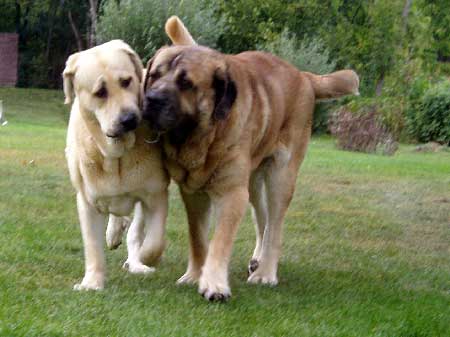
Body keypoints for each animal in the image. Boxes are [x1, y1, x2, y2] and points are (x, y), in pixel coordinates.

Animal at [63, 40, 169, 288]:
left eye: (126, 81)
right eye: (100, 92)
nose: (129, 119)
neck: (117, 156)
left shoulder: (156, 194)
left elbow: (154, 242)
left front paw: (142, 260)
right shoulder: (88, 202)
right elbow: (92, 247)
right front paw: (92, 282)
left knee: (136, 229)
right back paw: (113, 233)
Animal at [144, 17, 358, 300]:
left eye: (186, 83)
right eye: (154, 76)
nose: (151, 100)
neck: (203, 139)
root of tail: (304, 76)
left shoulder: (232, 193)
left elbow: (220, 240)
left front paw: (214, 284)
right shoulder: (194, 195)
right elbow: (198, 238)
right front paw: (194, 275)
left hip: (281, 175)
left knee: (275, 225)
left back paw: (265, 272)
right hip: (254, 182)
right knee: (263, 218)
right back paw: (258, 259)